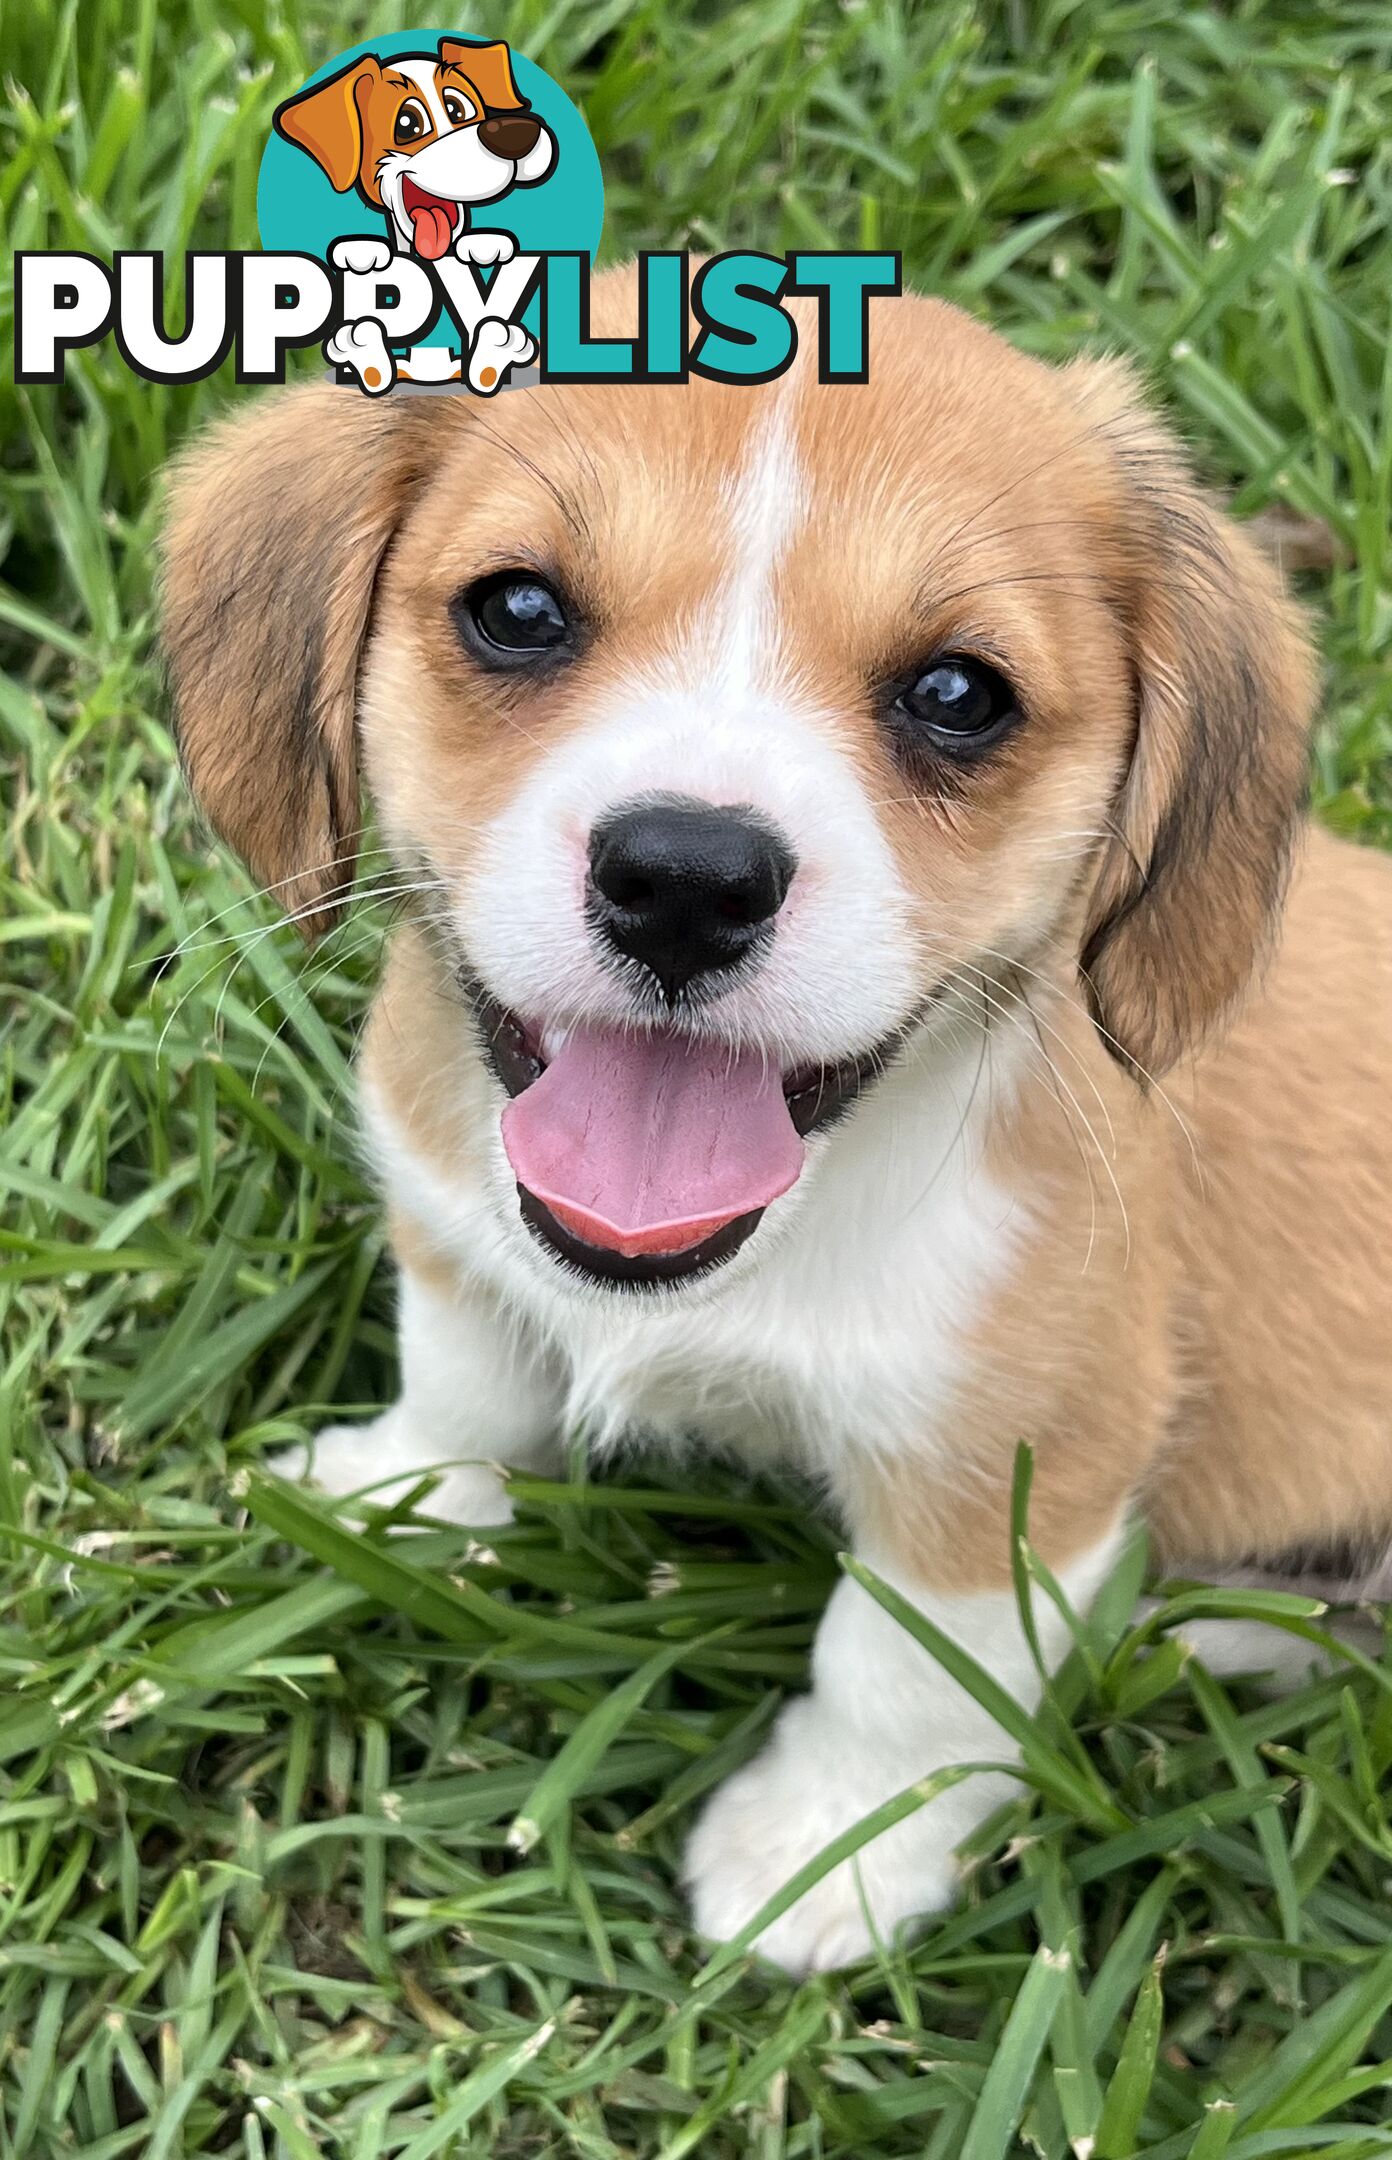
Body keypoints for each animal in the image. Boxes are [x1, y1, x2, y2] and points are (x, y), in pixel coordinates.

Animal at [163, 278, 1392, 1978]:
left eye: (958, 695)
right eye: (518, 610)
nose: (685, 878)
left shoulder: (1014, 1470)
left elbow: (903, 1680)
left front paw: (828, 1852)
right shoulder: (456, 1233)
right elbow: (465, 1386)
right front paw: (405, 1502)